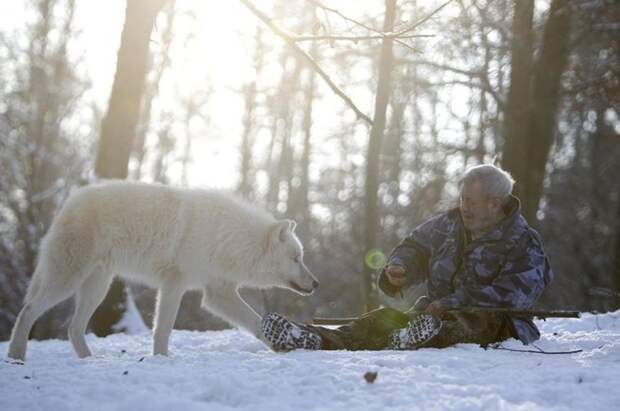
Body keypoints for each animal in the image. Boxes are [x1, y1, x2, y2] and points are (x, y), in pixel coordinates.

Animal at [8, 183, 320, 360]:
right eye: (297, 258)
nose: (316, 283)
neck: (226, 237)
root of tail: (68, 202)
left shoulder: (217, 294)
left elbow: (256, 323)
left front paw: (282, 344)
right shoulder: (175, 285)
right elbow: (163, 329)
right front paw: (161, 358)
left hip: (97, 288)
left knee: (73, 328)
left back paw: (89, 360)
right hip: (67, 280)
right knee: (27, 311)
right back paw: (16, 356)